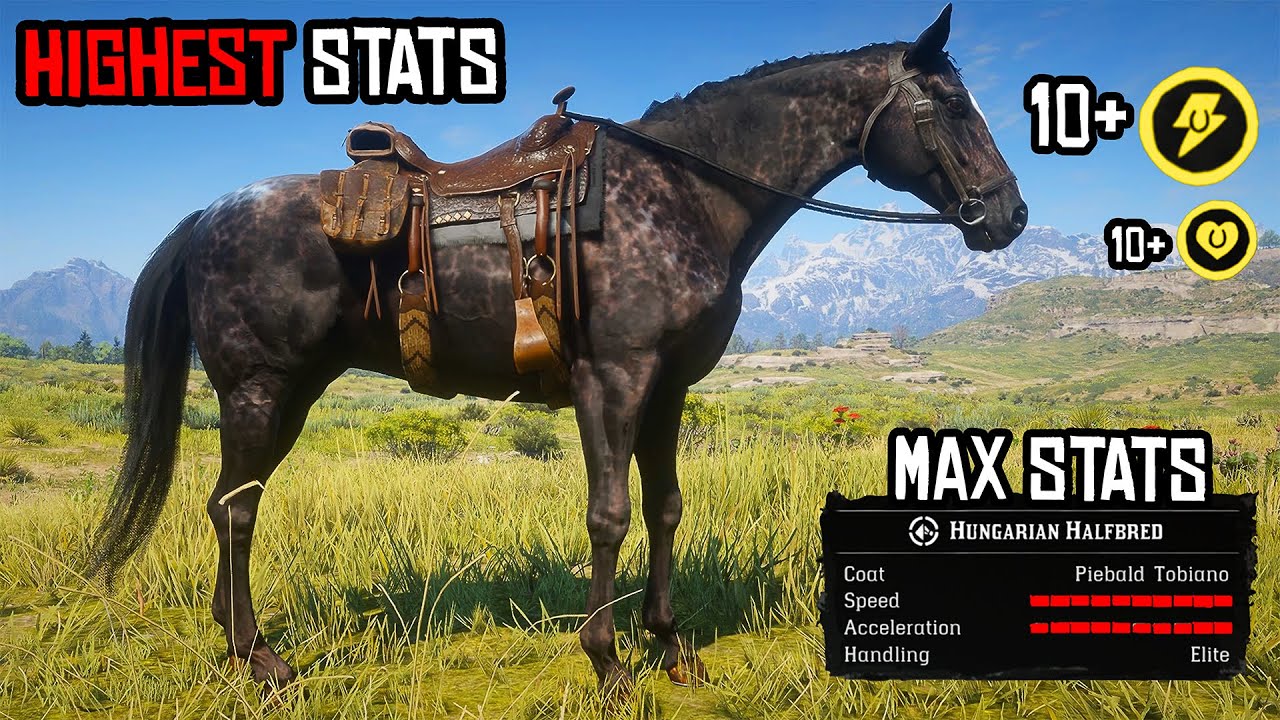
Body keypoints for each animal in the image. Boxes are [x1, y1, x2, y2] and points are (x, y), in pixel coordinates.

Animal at [87, 4, 1026, 696]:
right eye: (948, 107)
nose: (1009, 214)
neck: (683, 192)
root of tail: (205, 218)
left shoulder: (669, 388)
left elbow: (665, 508)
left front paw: (670, 647)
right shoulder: (614, 378)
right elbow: (608, 513)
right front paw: (608, 663)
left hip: (288, 394)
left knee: (227, 505)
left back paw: (235, 641)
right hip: (259, 389)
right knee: (237, 511)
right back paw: (262, 660)